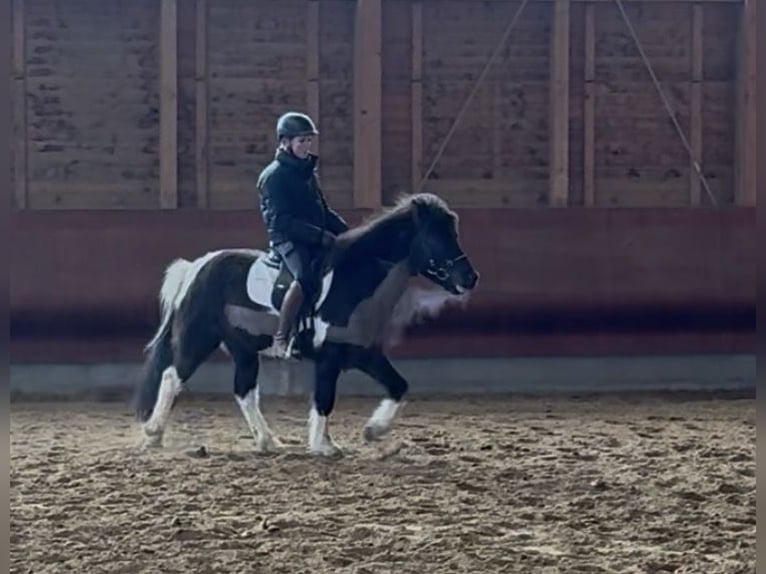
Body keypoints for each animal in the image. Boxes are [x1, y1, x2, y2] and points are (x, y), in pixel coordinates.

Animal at [133, 192, 479, 456]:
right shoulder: (330, 357)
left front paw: (372, 430)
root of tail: (197, 266)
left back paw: (268, 441)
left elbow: (398, 386)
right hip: (199, 338)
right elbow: (324, 400)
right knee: (172, 377)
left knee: (244, 391)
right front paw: (324, 446)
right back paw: (153, 432)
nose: (470, 278)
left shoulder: (363, 353)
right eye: (435, 236)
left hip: (243, 349)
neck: (353, 281)